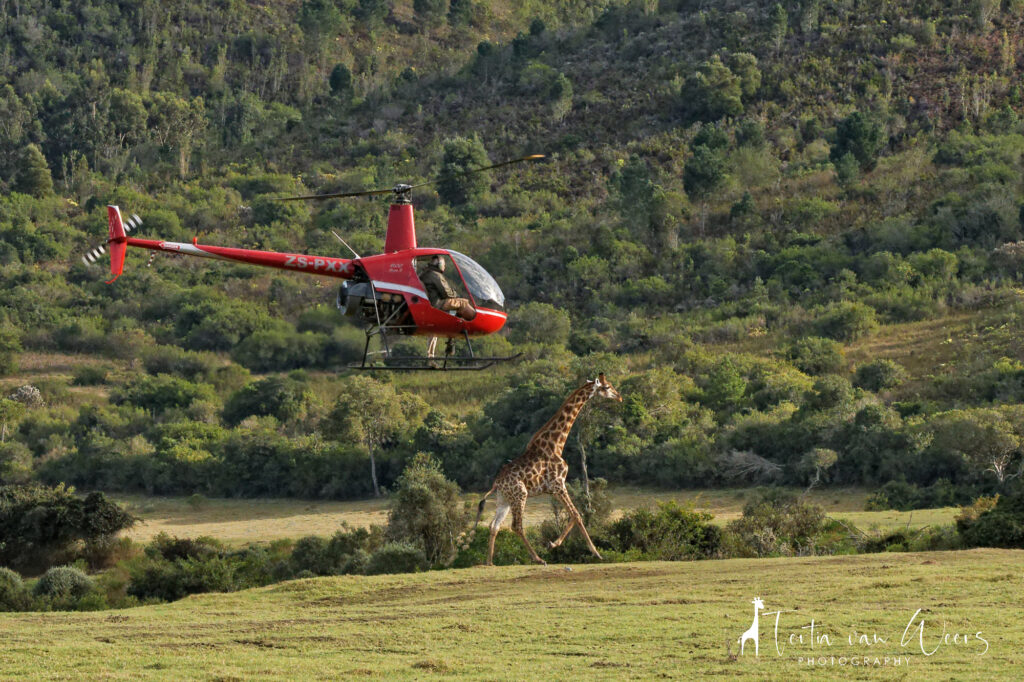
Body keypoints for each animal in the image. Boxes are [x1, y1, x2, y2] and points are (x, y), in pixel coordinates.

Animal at [473, 372, 622, 561]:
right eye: (607, 386)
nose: (619, 397)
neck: (556, 444)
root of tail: (496, 484)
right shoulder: (558, 484)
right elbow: (577, 514)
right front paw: (594, 553)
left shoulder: (554, 488)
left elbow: (575, 514)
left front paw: (557, 544)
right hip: (520, 494)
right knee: (516, 526)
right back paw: (538, 559)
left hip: (504, 500)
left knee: (494, 525)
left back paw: (489, 562)